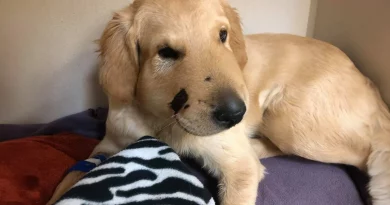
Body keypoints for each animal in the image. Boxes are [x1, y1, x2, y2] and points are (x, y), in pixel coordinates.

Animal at [48, 0, 390, 205]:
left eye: (222, 35)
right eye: (166, 52)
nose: (236, 113)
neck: (161, 121)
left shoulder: (238, 168)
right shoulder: (107, 146)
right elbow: (68, 179)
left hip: (291, 121)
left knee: (362, 156)